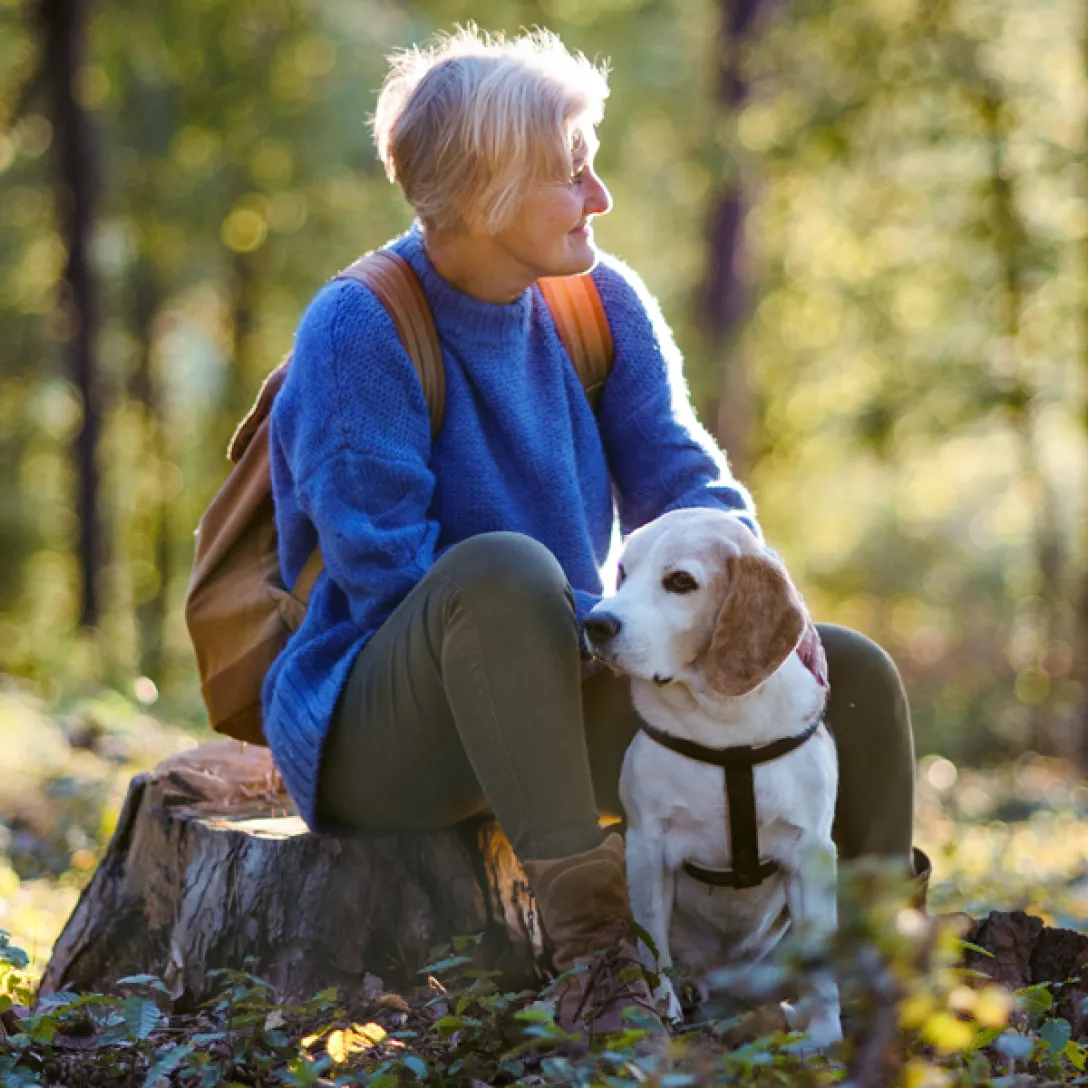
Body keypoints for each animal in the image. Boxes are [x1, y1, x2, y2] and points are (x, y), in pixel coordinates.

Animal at [587, 507, 839, 1044]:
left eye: (680, 582)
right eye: (623, 573)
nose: (595, 623)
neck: (725, 726)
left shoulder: (811, 852)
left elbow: (822, 963)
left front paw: (827, 1034)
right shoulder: (647, 848)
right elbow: (653, 949)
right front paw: (663, 1013)